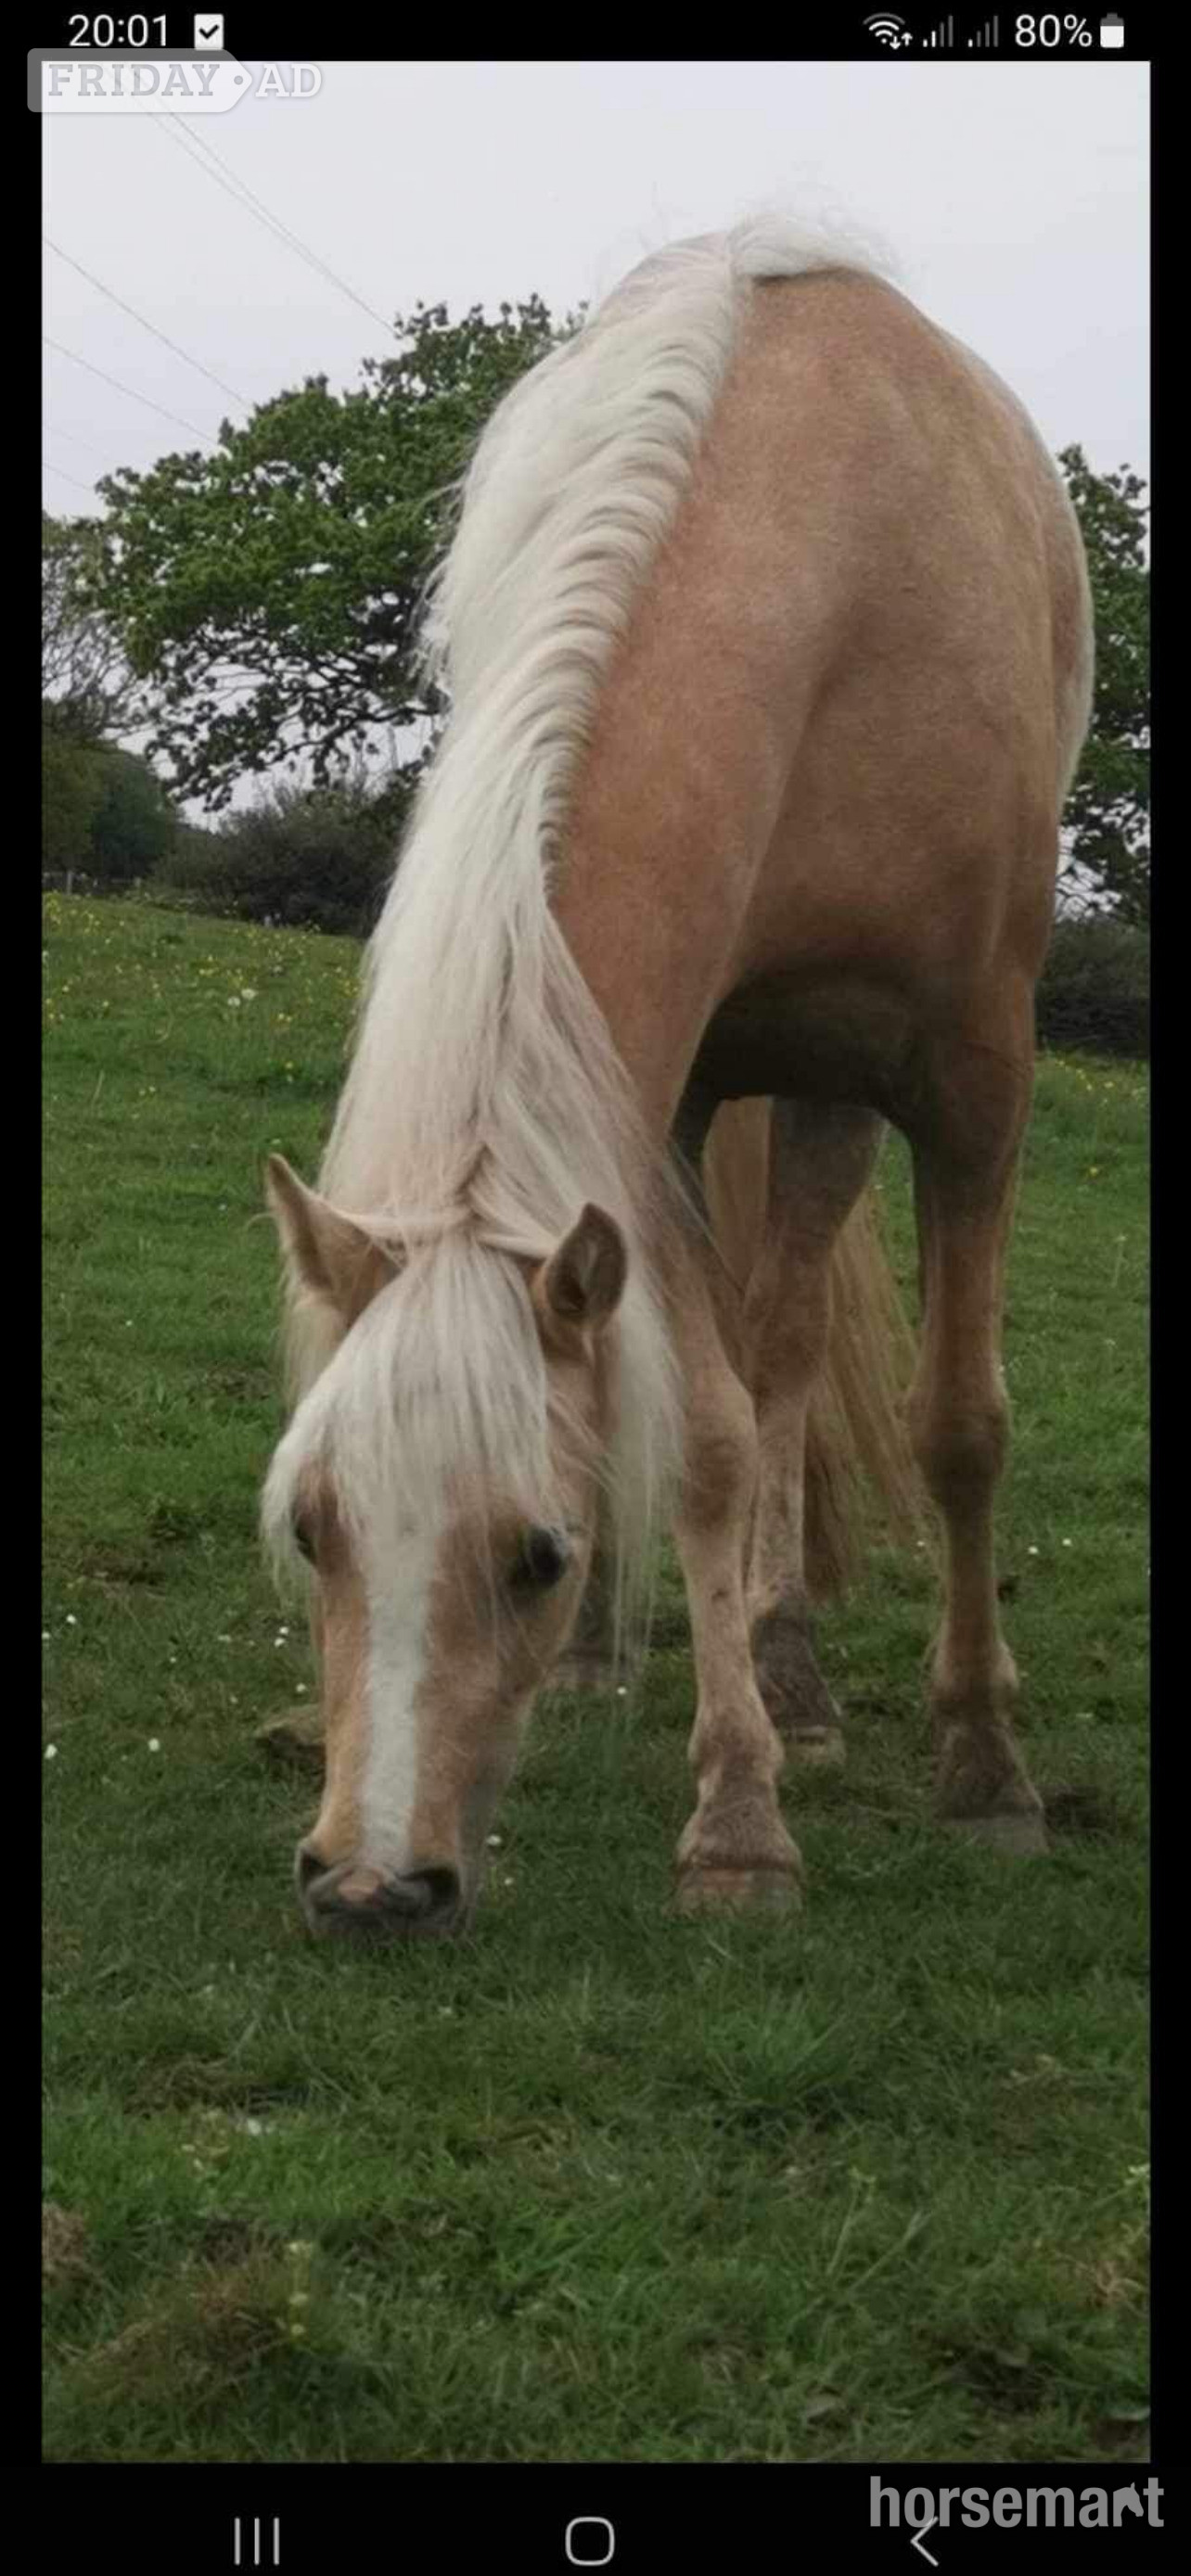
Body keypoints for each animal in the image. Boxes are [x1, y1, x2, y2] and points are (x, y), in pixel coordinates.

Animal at [262, 217, 1093, 1938]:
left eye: (530, 1550)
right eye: (312, 1528)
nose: (367, 1883)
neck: (838, 572)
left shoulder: (974, 1077)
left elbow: (958, 1422)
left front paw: (982, 1766)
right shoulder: (646, 1111)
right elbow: (705, 1439)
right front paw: (736, 1814)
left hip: (835, 1086)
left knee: (793, 1352)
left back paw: (801, 1672)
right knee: (730, 1372)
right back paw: (672, 1669)